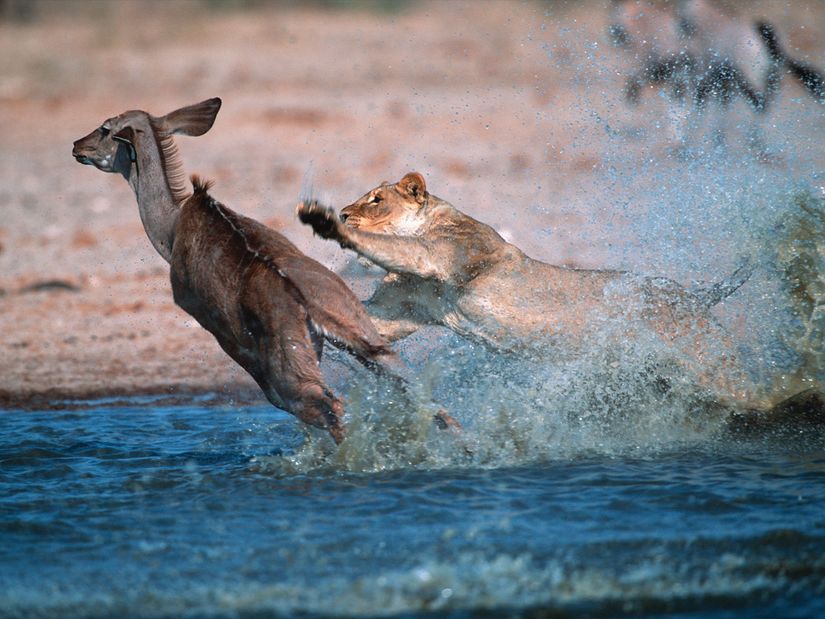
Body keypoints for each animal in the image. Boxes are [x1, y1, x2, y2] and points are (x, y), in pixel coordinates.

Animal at [72, 99, 458, 444]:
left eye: (105, 129)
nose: (77, 145)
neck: (173, 225)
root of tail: (307, 303)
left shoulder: (225, 334)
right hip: (372, 346)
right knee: (429, 402)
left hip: (293, 372)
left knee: (329, 406)